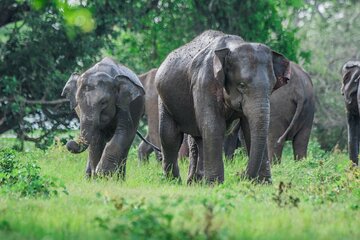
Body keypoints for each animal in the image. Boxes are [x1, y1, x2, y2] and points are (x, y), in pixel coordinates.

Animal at [156, 30, 292, 184]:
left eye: (272, 86)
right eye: (241, 85)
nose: (241, 176)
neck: (232, 47)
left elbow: (248, 129)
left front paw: (264, 184)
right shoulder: (204, 82)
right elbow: (213, 126)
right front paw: (215, 184)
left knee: (198, 137)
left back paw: (196, 182)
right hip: (164, 99)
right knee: (169, 136)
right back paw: (174, 181)